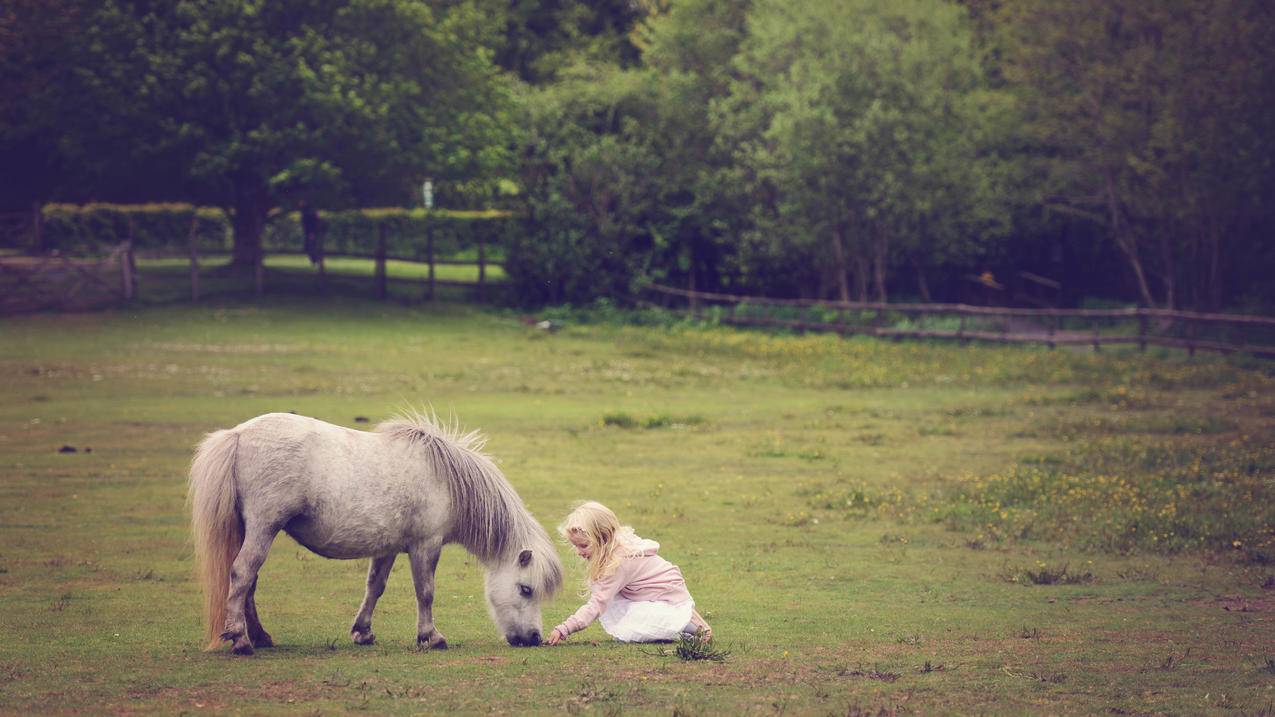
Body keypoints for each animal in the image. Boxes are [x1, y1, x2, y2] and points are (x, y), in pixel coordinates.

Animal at [186, 410, 563, 650]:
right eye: (526, 589)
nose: (534, 638)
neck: (446, 480)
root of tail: (237, 434)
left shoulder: (389, 547)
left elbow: (375, 587)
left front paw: (362, 632)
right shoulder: (426, 546)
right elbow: (425, 592)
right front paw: (431, 637)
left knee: (248, 582)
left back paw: (260, 637)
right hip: (264, 527)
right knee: (242, 573)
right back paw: (240, 639)